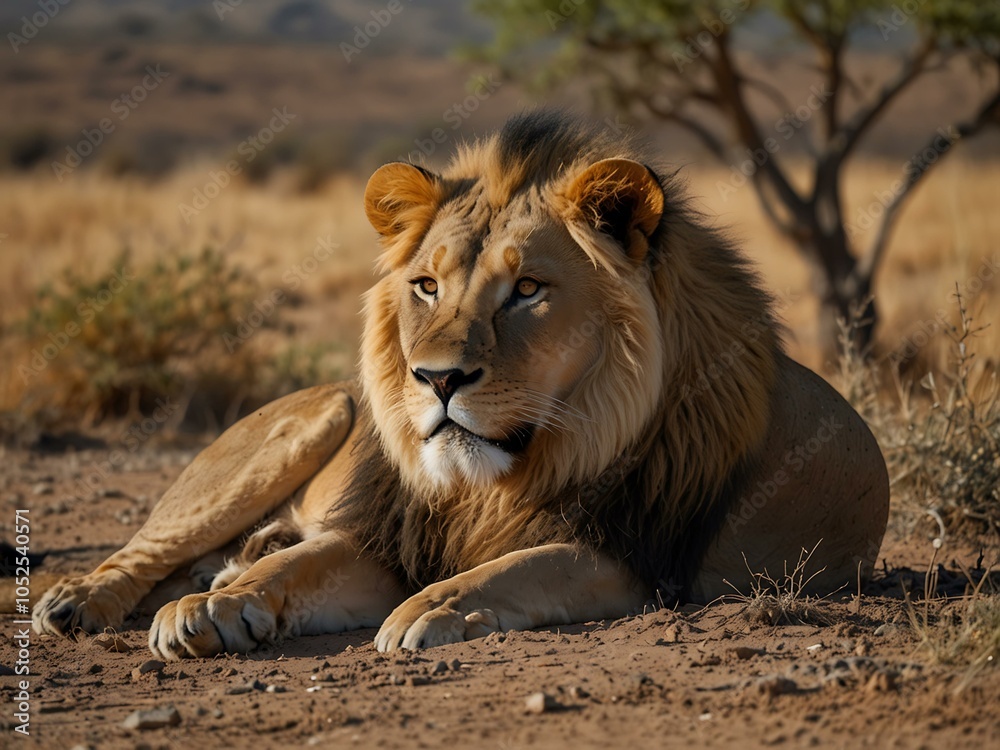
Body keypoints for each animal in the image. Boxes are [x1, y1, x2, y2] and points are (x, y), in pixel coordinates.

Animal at [32, 111, 889, 659]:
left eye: (528, 290)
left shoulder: (641, 553)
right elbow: (299, 565)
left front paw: (431, 608)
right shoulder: (391, 535)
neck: (501, 480)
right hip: (321, 414)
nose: (437, 379)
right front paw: (214, 606)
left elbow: (521, 564)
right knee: (149, 549)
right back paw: (83, 600)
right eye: (427, 287)